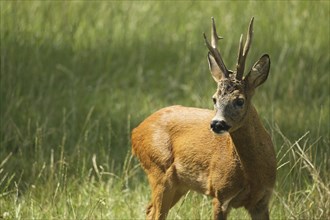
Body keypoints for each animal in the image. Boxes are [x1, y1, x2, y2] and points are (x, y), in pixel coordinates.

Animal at [131, 17, 276, 220]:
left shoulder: (262, 200)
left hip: (179, 184)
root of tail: (136, 131)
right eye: (214, 98)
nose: (217, 124)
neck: (252, 175)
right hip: (159, 170)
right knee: (156, 213)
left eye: (239, 100)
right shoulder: (220, 194)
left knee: (149, 209)